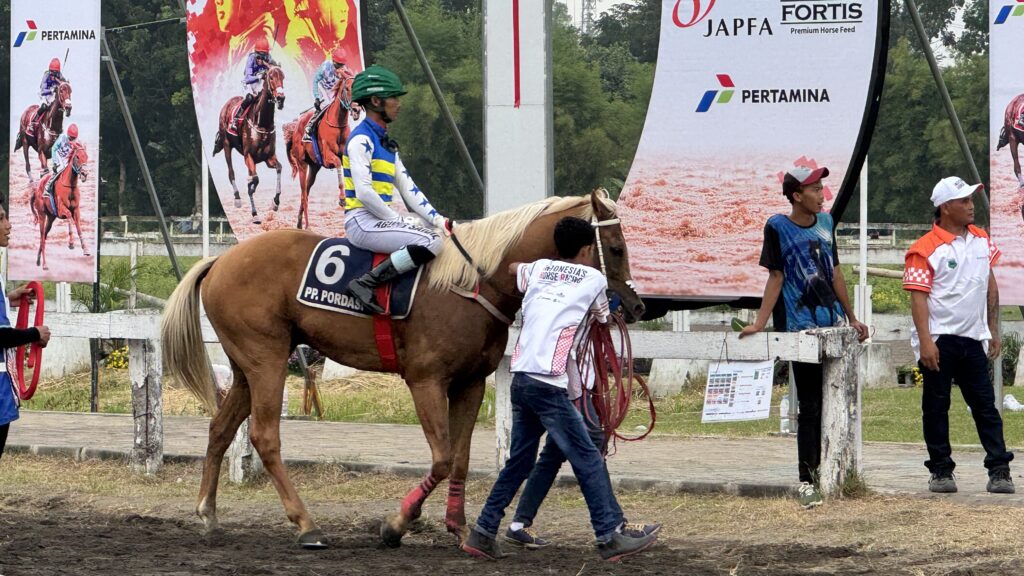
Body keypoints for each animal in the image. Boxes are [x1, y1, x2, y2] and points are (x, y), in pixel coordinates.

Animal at [29, 142, 90, 270]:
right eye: (77, 157)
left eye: (86, 156)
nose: (84, 174)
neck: (70, 185)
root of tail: (36, 191)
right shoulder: (62, 210)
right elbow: (69, 217)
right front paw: (71, 244)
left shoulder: (76, 210)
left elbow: (78, 227)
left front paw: (86, 249)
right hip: (42, 215)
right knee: (42, 236)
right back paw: (45, 264)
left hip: (51, 218)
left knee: (44, 237)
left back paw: (38, 260)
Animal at [160, 189, 645, 550]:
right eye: (616, 248)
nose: (638, 306)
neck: (473, 282)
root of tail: (220, 260)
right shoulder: (426, 380)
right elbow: (443, 457)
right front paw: (397, 524)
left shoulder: (470, 382)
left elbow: (461, 458)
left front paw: (460, 528)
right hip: (267, 359)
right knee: (264, 436)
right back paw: (306, 524)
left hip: (247, 364)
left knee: (221, 427)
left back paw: (208, 513)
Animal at [212, 66, 286, 225]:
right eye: (271, 77)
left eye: (283, 76)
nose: (281, 98)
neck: (262, 123)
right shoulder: (249, 156)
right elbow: (254, 181)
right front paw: (255, 213)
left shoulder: (269, 157)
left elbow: (279, 168)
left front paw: (275, 202)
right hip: (227, 145)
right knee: (231, 172)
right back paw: (237, 198)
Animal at [283, 78, 353, 230]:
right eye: (347, 88)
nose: (356, 108)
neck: (338, 124)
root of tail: (294, 130)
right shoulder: (328, 157)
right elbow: (337, 163)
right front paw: (342, 199)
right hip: (302, 165)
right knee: (304, 194)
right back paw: (307, 226)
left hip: (314, 168)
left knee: (306, 193)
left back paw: (299, 223)